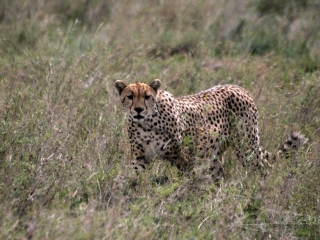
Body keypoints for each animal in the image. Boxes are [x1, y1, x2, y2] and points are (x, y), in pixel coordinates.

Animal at [115, 79, 308, 179]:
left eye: (147, 97)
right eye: (130, 96)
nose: (138, 110)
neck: (146, 123)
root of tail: (238, 87)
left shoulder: (185, 157)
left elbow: (188, 181)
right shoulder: (140, 157)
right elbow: (130, 175)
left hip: (246, 148)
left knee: (263, 167)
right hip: (214, 155)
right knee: (219, 176)